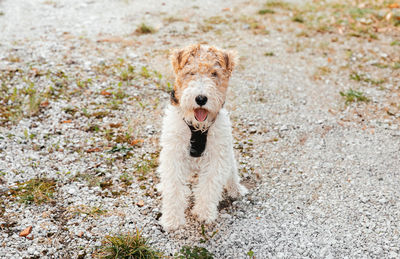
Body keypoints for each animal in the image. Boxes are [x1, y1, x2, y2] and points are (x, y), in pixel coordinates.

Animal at [157, 44, 247, 232]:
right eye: (191, 72)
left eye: (214, 73)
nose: (201, 99)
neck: (198, 128)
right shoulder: (174, 155)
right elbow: (174, 187)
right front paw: (172, 220)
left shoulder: (217, 157)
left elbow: (209, 186)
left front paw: (203, 213)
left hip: (228, 154)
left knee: (232, 173)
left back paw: (236, 190)